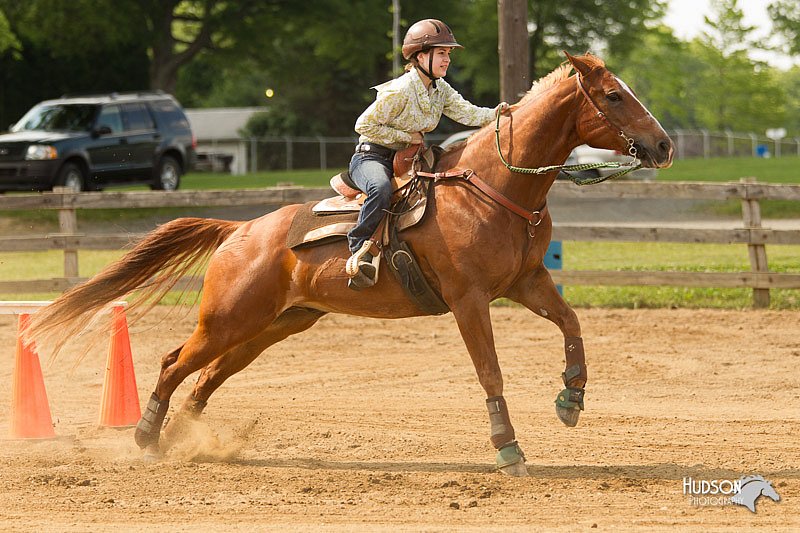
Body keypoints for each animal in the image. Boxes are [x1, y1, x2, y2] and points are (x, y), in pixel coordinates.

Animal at [28, 52, 672, 476]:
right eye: (613, 96)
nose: (663, 145)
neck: (492, 185)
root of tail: (240, 232)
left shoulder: (526, 281)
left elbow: (571, 323)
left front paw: (571, 399)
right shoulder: (469, 300)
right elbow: (491, 372)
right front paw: (508, 447)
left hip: (273, 325)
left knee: (207, 377)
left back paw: (190, 437)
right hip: (228, 319)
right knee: (172, 362)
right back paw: (145, 437)